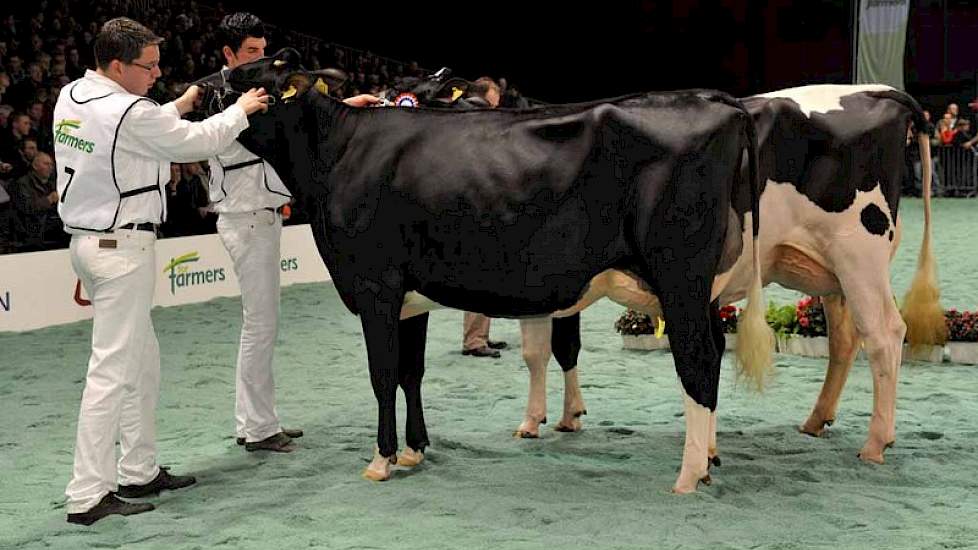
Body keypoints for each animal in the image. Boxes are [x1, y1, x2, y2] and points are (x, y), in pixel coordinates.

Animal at [204, 49, 772, 494]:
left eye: (245, 76)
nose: (202, 86)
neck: (336, 153)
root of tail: (715, 100)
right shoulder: (410, 295)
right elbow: (411, 372)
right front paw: (415, 450)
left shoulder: (374, 286)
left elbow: (382, 375)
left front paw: (381, 459)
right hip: (701, 286)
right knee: (710, 354)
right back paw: (708, 459)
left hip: (680, 277)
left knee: (698, 361)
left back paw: (689, 474)